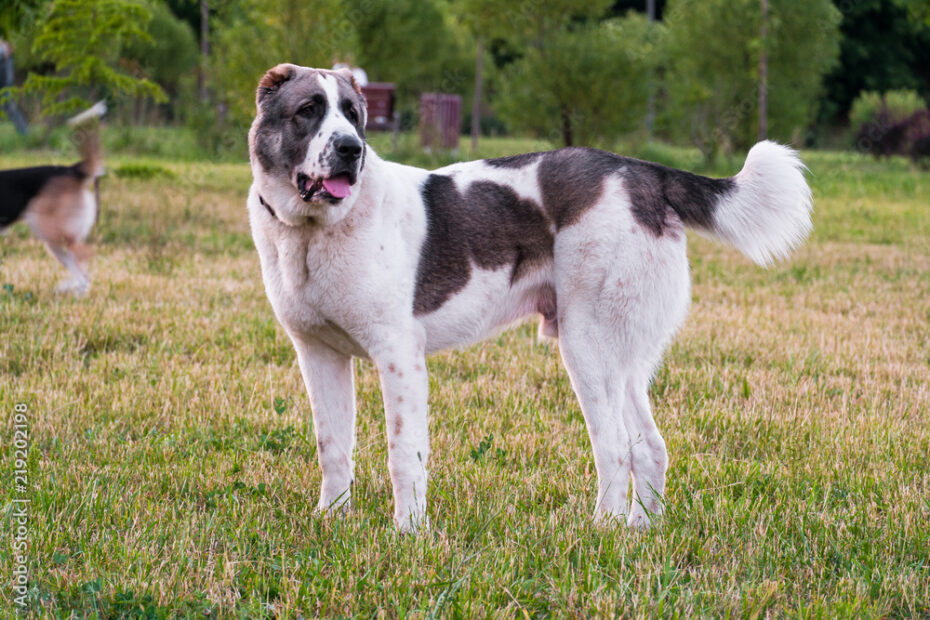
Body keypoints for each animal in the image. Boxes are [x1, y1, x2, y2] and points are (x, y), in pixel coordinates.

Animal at [248, 64, 812, 532]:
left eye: (353, 115)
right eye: (308, 110)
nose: (351, 149)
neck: (315, 232)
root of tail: (643, 172)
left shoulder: (399, 356)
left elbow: (402, 453)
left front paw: (407, 534)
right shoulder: (318, 355)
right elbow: (332, 447)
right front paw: (331, 520)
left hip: (587, 346)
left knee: (614, 448)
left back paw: (601, 532)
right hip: (621, 357)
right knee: (649, 447)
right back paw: (639, 531)